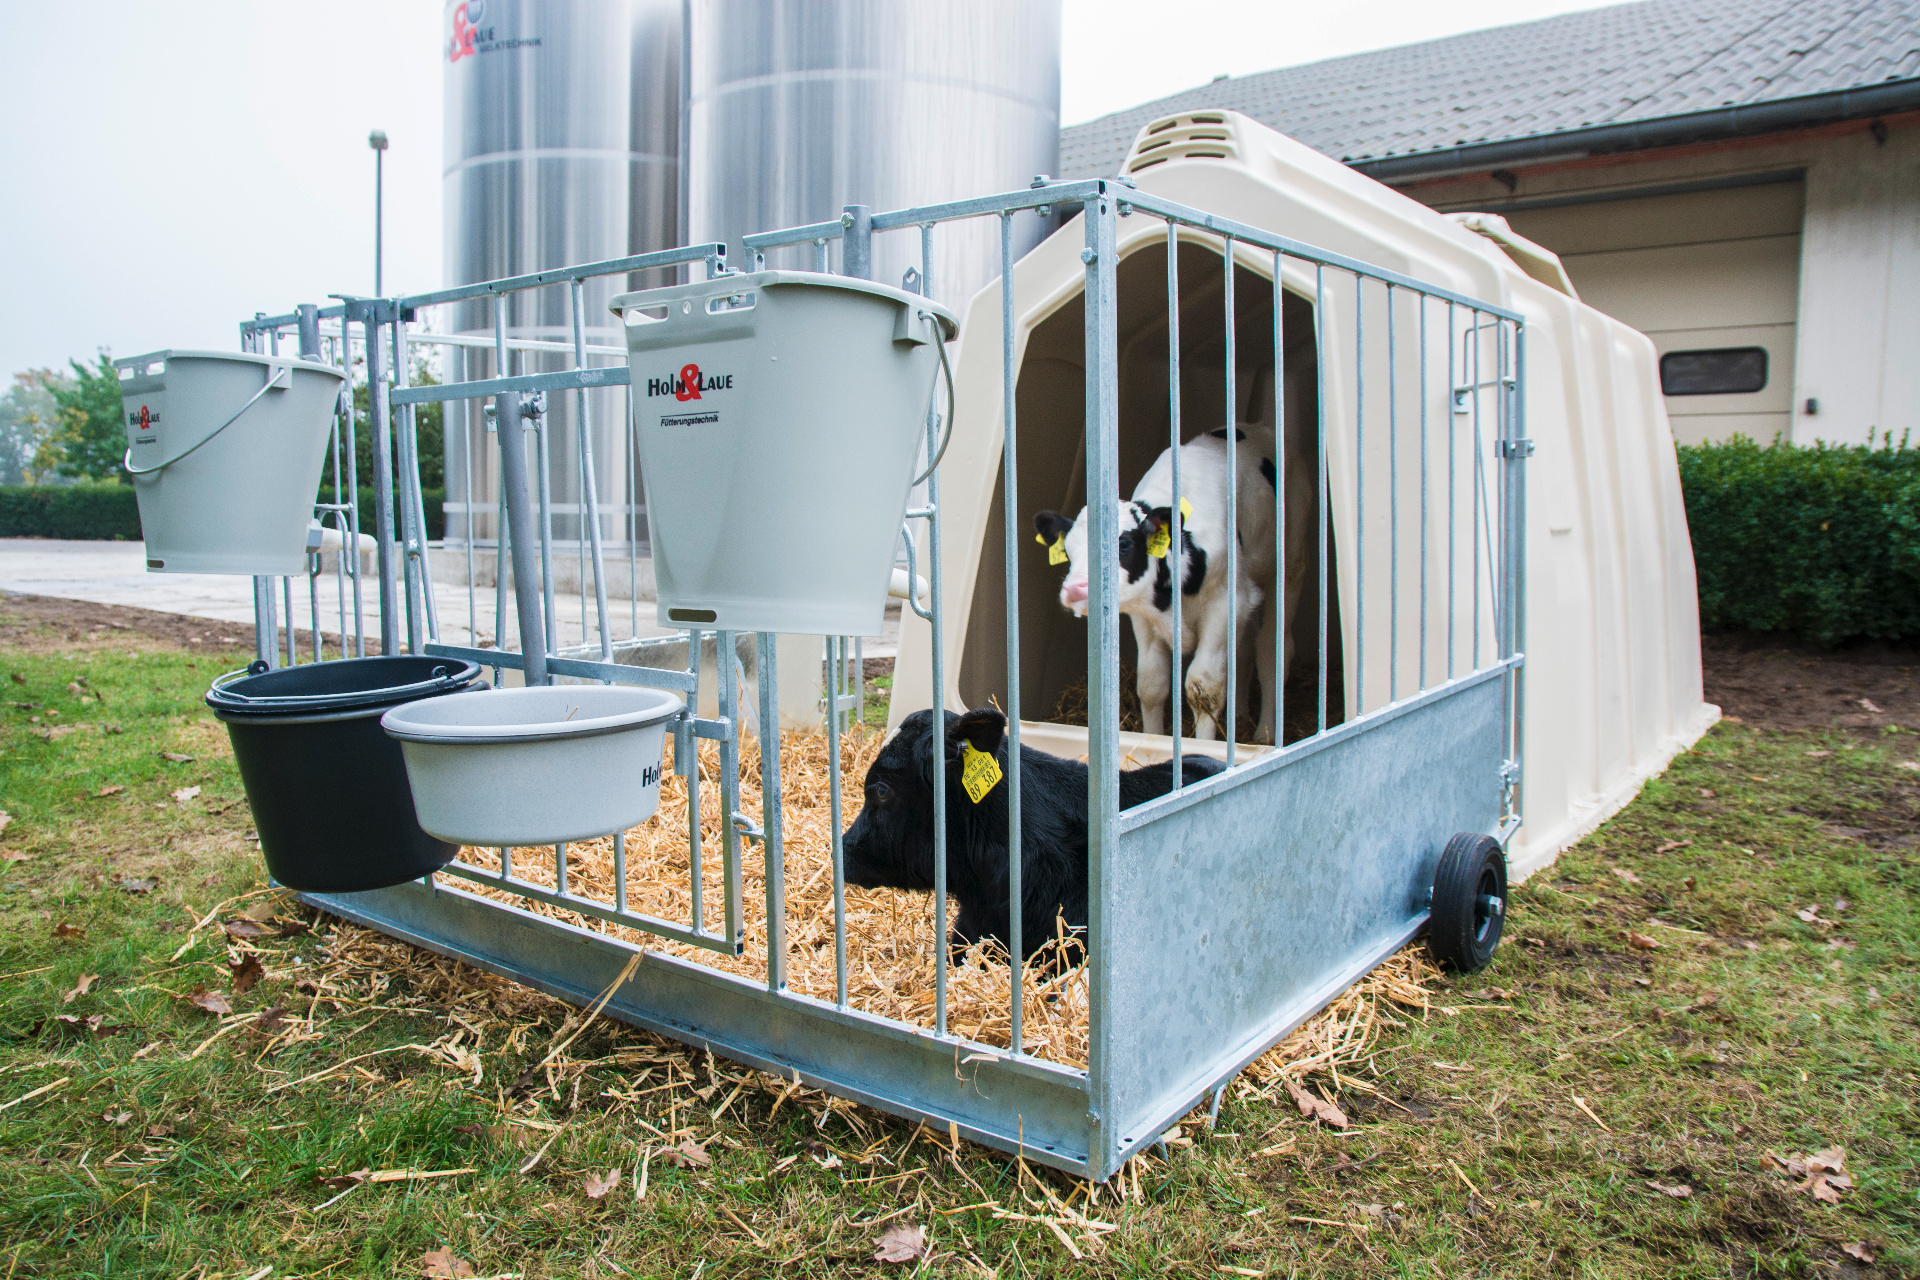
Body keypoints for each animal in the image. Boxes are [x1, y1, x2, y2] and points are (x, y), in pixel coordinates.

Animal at [1044, 422, 1313, 740]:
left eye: (1124, 544)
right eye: (1068, 550)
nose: (1074, 589)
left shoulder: (1224, 603)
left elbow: (1204, 687)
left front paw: (1205, 744)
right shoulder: (1143, 616)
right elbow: (1151, 685)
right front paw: (1154, 740)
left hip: (1291, 565)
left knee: (1273, 649)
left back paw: (1264, 734)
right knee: (1244, 649)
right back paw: (1240, 715)